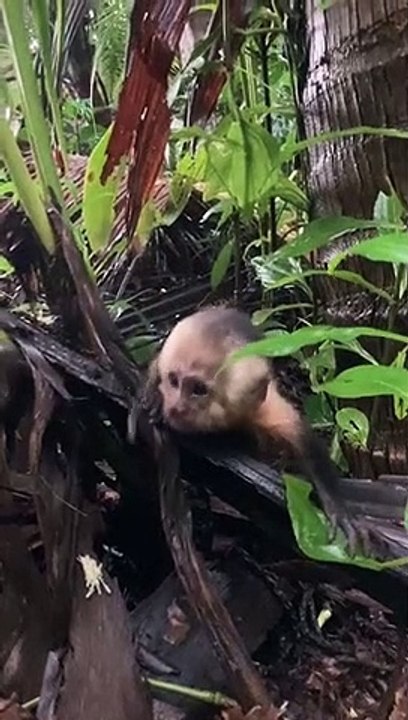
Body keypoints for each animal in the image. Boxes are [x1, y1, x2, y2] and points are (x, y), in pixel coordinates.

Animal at [145, 305, 373, 556]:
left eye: (198, 390)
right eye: (173, 381)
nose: (176, 407)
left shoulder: (265, 407)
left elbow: (304, 442)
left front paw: (337, 508)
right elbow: (155, 365)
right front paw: (152, 395)